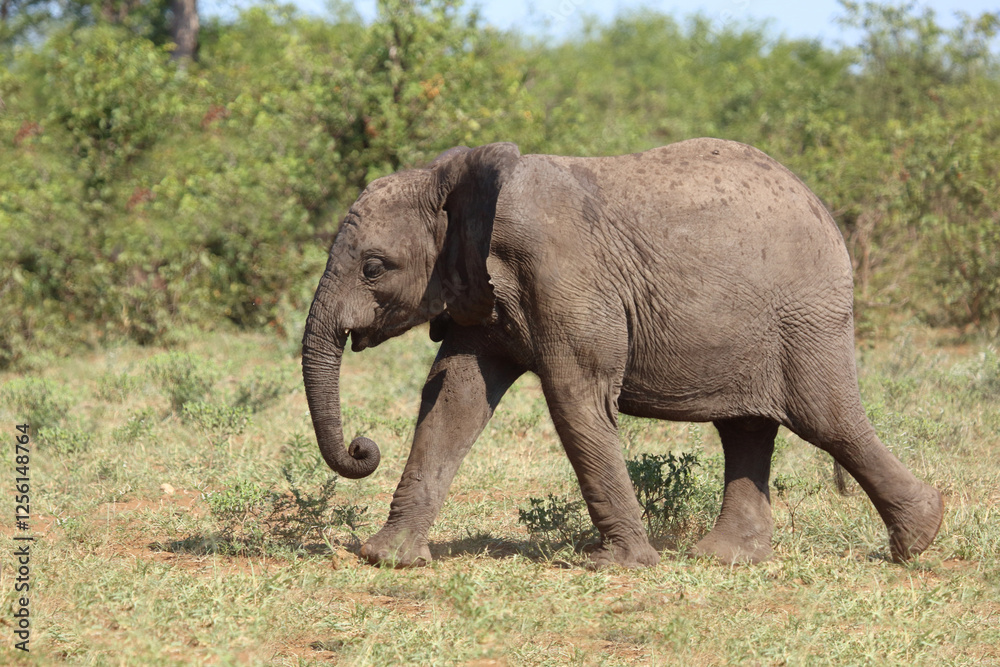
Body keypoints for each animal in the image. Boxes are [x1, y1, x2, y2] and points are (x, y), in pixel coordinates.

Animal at [301, 138, 944, 569]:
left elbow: (576, 399)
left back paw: (917, 540)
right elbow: (452, 399)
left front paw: (619, 566)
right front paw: (386, 559)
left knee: (827, 420)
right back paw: (723, 559)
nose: (362, 448)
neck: (460, 178)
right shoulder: (483, 288)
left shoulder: (563, 274)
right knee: (746, 428)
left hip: (807, 319)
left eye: (374, 267)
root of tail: (823, 207)